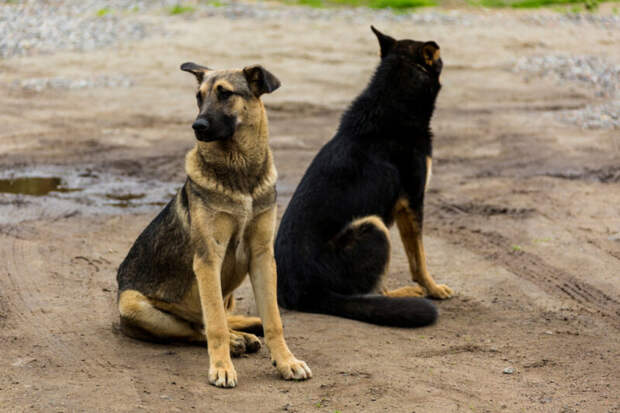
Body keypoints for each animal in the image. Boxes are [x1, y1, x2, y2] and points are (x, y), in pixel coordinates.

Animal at [115, 61, 310, 386]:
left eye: (225, 94)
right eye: (198, 96)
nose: (198, 126)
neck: (240, 171)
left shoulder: (262, 257)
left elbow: (274, 320)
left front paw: (286, 361)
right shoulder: (208, 259)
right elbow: (215, 324)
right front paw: (222, 367)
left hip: (228, 294)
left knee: (219, 317)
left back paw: (245, 331)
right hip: (132, 304)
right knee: (197, 327)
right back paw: (236, 340)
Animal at [274, 27, 452, 326]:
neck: (392, 99)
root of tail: (304, 294)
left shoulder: (404, 208)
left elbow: (414, 255)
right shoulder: (413, 201)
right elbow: (419, 257)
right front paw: (433, 288)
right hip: (374, 227)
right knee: (370, 292)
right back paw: (401, 295)